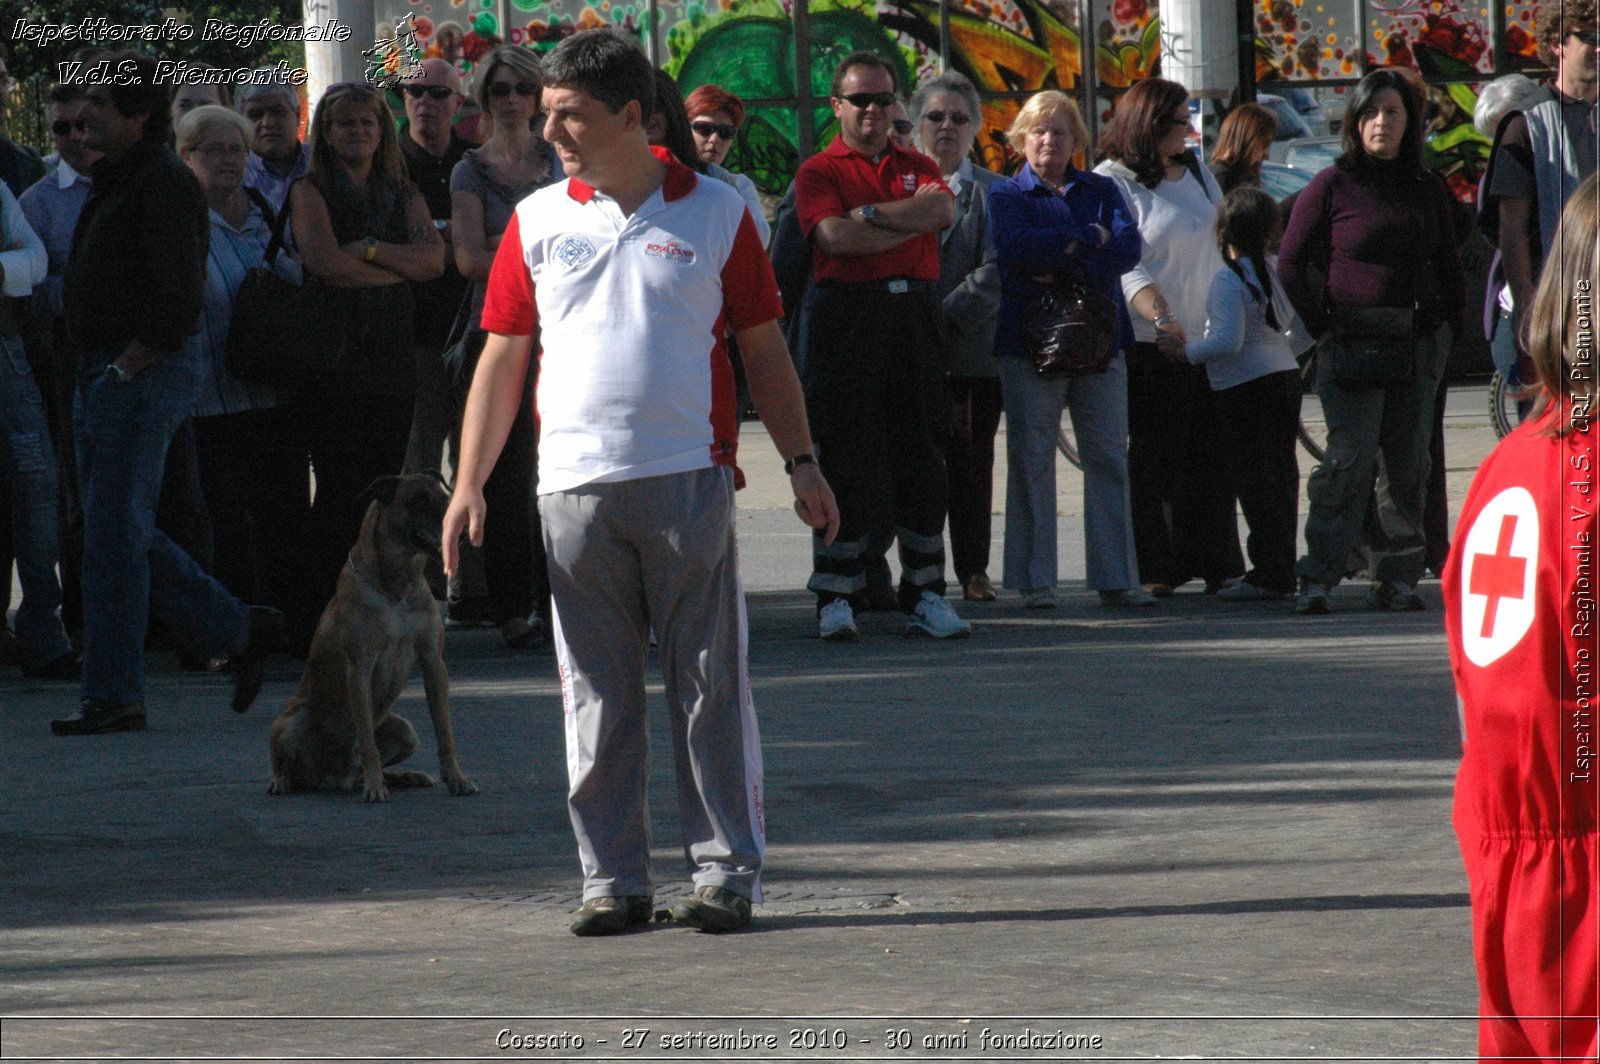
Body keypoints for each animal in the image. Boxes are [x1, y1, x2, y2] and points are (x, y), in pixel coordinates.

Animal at [268, 470, 476, 800]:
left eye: (446, 499)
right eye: (418, 502)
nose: (462, 531)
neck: (396, 585)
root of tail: (333, 777)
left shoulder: (433, 662)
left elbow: (444, 729)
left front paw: (456, 779)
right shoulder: (359, 668)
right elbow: (367, 740)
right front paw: (375, 787)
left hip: (405, 730)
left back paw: (407, 776)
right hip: (293, 721)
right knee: (284, 761)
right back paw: (283, 781)